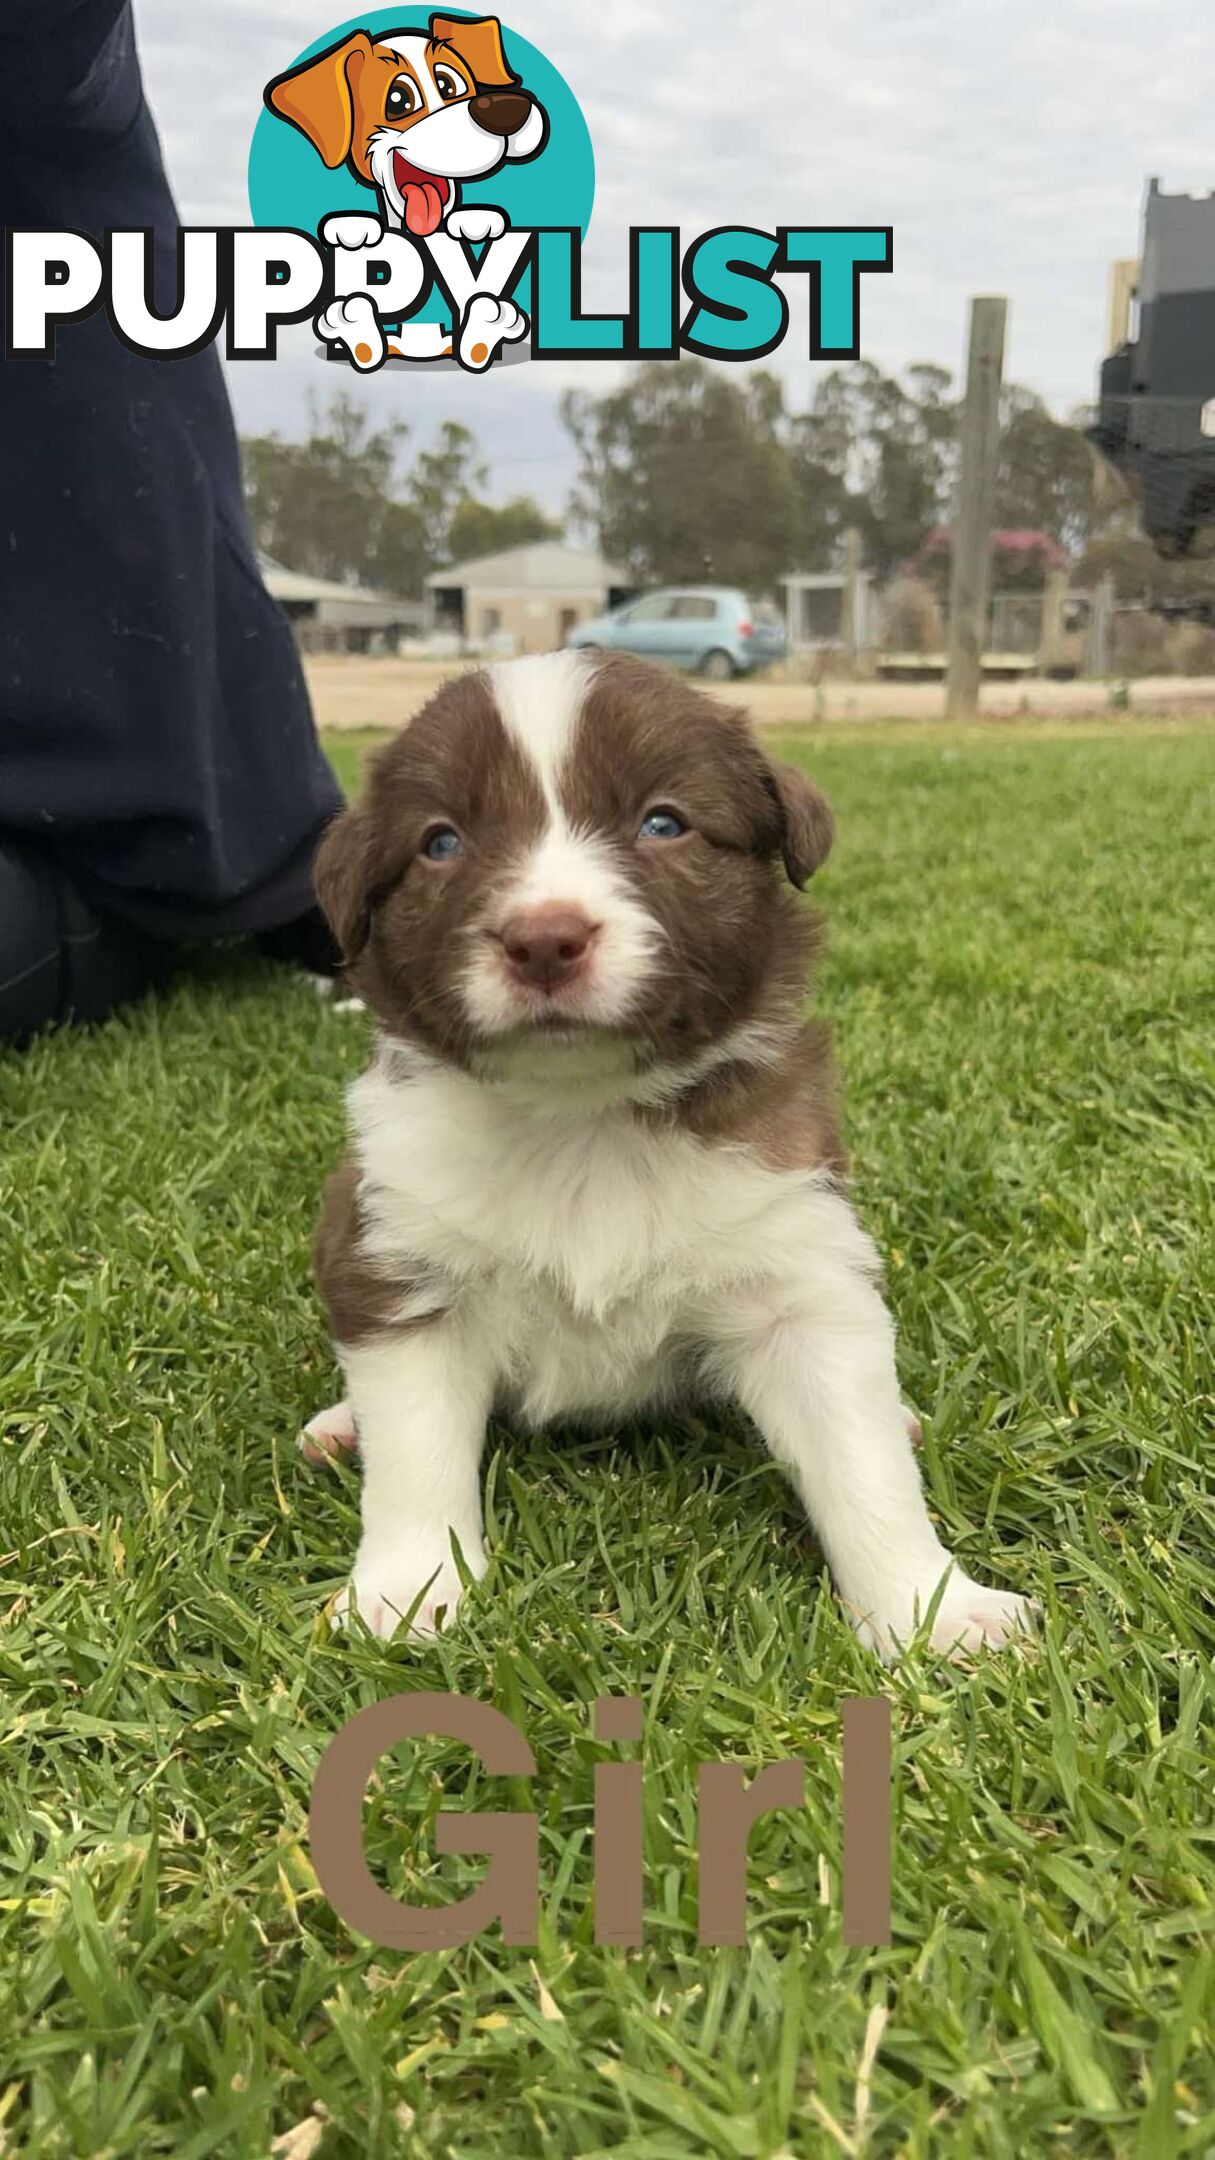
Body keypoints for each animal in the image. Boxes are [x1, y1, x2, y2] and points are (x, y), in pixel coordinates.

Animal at [304, 648, 1029, 1658]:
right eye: (441, 843)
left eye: (662, 823)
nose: (544, 940)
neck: (582, 1117)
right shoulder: (401, 1262)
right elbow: (414, 1457)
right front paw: (408, 1591)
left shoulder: (794, 1272)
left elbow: (862, 1464)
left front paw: (932, 1612)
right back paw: (342, 1427)